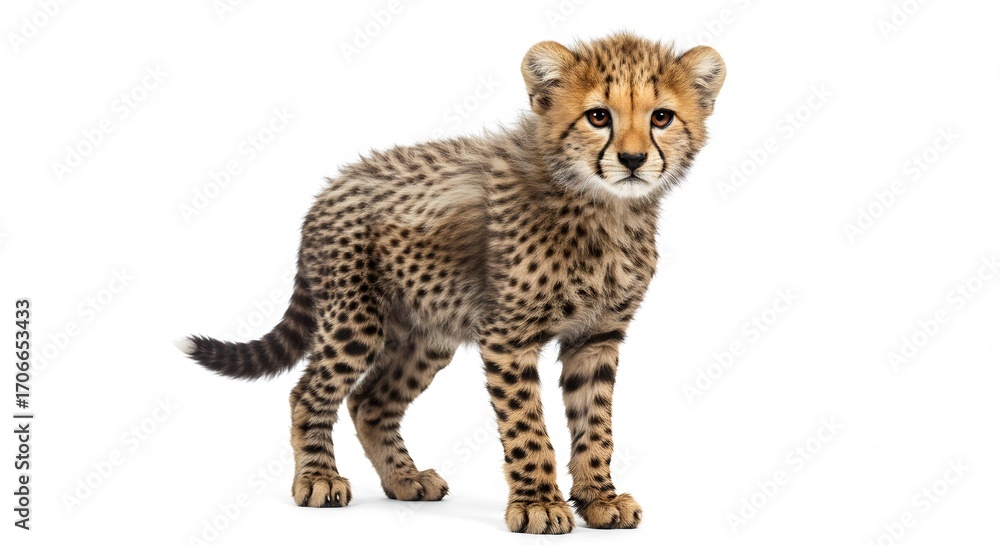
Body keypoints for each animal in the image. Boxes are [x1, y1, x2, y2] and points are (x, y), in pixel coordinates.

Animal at [178, 32, 725, 534]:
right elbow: (528, 428)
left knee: (370, 401)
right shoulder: (508, 337)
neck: (602, 206)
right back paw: (317, 478)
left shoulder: (597, 337)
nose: (632, 160)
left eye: (661, 117)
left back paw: (405, 479)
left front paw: (599, 497)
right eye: (597, 117)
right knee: (309, 393)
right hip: (356, 321)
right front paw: (539, 504)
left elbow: (596, 424)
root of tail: (335, 183)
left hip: (429, 330)